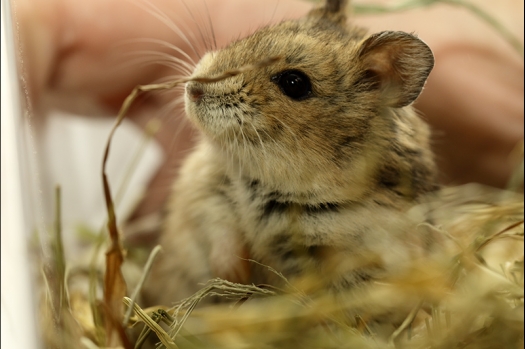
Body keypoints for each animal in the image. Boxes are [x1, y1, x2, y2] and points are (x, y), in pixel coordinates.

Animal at [141, 0, 436, 306]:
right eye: (254, 35)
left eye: (294, 83)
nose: (193, 89)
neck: (267, 180)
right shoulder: (206, 189)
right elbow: (221, 229)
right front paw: (233, 275)